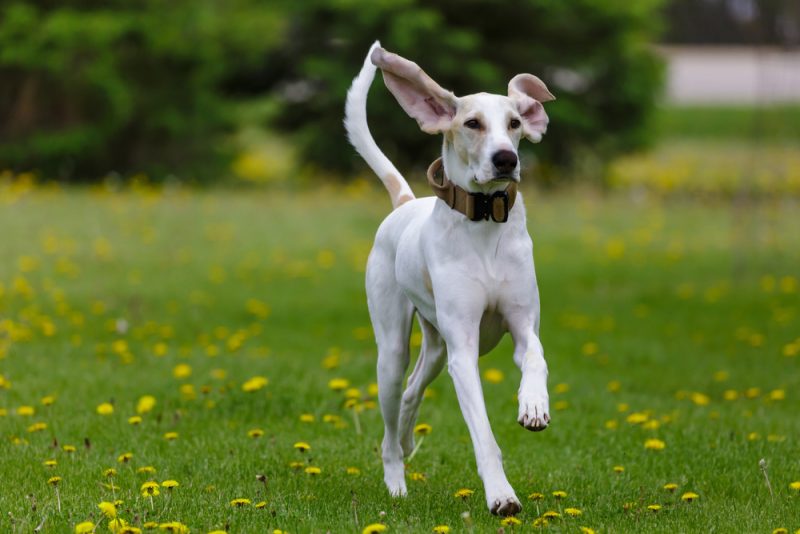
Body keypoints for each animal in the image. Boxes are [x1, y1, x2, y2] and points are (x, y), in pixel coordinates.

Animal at [344, 42, 556, 520]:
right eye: (472, 123)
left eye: (515, 123)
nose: (506, 159)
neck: (486, 225)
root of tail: (406, 201)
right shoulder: (463, 351)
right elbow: (484, 435)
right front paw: (501, 495)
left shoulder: (522, 325)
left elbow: (535, 357)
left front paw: (534, 403)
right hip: (394, 349)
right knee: (390, 420)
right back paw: (396, 482)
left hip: (436, 348)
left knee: (411, 393)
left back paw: (408, 441)